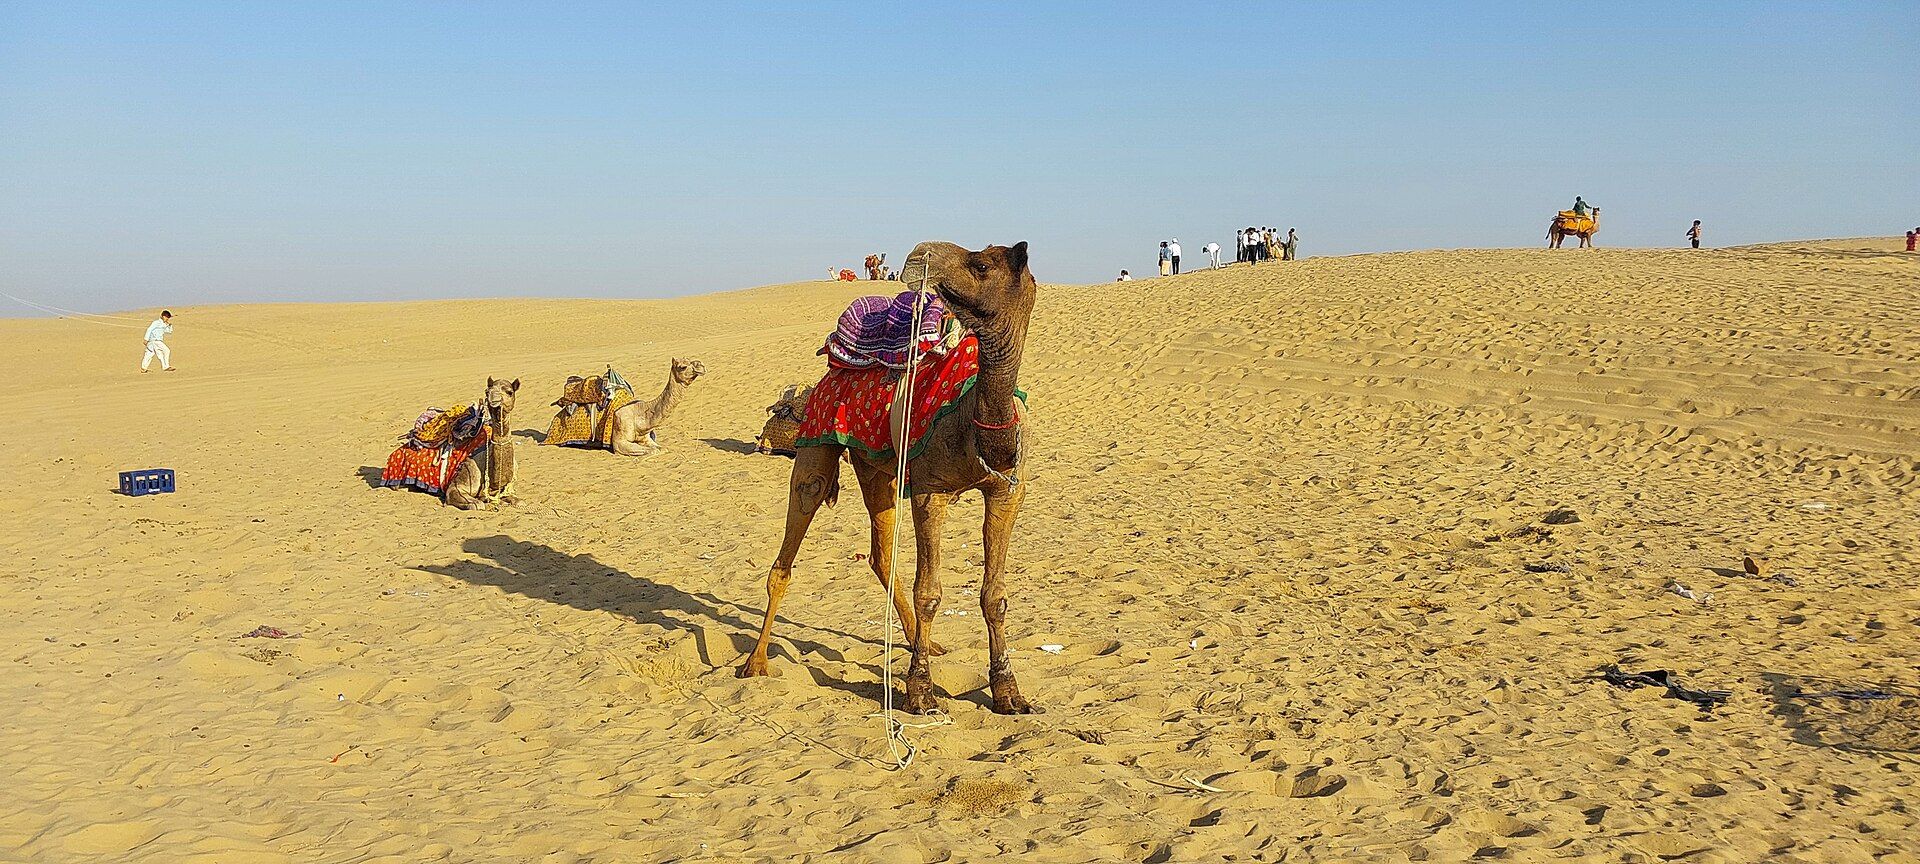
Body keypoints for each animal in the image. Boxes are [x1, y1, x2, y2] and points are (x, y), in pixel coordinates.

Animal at [445, 376, 519, 511]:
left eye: (509, 392)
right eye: (486, 392)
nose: (493, 396)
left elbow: (518, 501)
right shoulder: (461, 481)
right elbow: (477, 504)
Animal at [738, 241, 1040, 716]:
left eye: (981, 264)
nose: (919, 254)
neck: (975, 427)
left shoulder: (1008, 490)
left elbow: (995, 596)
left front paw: (1009, 693)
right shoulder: (931, 492)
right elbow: (929, 592)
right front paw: (920, 693)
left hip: (876, 466)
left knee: (880, 553)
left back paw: (925, 644)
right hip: (817, 439)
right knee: (791, 540)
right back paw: (755, 662)